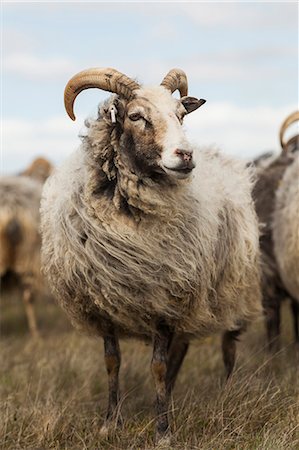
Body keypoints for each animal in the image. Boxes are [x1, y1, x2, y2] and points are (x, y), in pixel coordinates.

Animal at [40, 67, 262, 442]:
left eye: (181, 115)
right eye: (136, 116)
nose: (185, 155)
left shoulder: (165, 302)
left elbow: (158, 366)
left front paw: (162, 432)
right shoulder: (103, 304)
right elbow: (112, 363)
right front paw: (109, 423)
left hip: (231, 287)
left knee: (227, 345)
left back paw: (224, 393)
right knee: (181, 350)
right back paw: (169, 398)